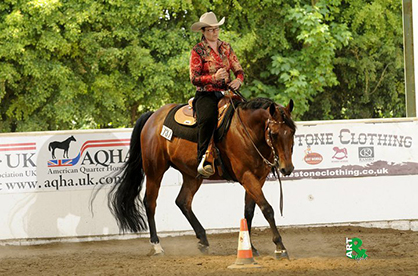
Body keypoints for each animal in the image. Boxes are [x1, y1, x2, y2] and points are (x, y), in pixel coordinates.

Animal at [108, 97, 298, 258]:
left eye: (293, 131)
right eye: (274, 133)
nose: (287, 168)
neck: (246, 131)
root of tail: (153, 116)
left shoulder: (258, 178)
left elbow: (249, 212)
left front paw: (250, 247)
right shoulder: (247, 176)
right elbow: (267, 209)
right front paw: (280, 247)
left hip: (192, 175)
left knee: (183, 201)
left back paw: (203, 240)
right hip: (155, 170)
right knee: (150, 203)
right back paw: (156, 246)